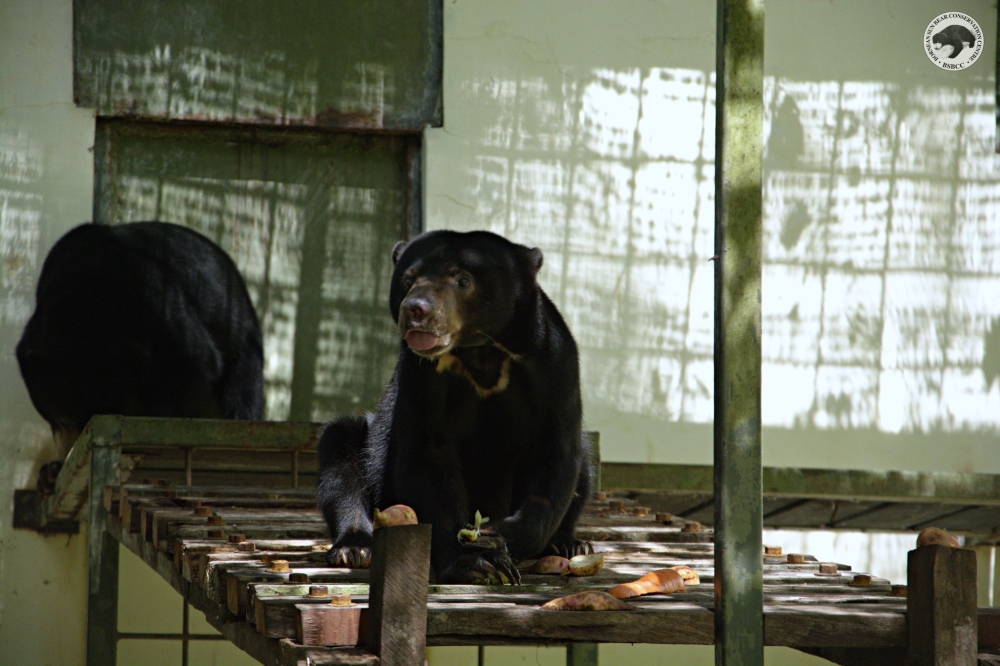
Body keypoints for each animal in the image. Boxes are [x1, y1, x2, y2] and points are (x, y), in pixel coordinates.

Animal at [17, 222, 264, 493]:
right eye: (63, 417)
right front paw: (52, 471)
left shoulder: (157, 300)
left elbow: (197, 366)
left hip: (244, 345)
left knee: (241, 395)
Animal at [316, 230, 592, 585]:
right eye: (408, 280)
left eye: (463, 280)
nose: (416, 309)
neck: (480, 352)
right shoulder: (422, 375)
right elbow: (426, 456)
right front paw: (476, 560)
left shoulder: (553, 363)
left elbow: (555, 456)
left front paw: (499, 535)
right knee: (340, 454)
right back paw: (355, 548)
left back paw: (568, 544)